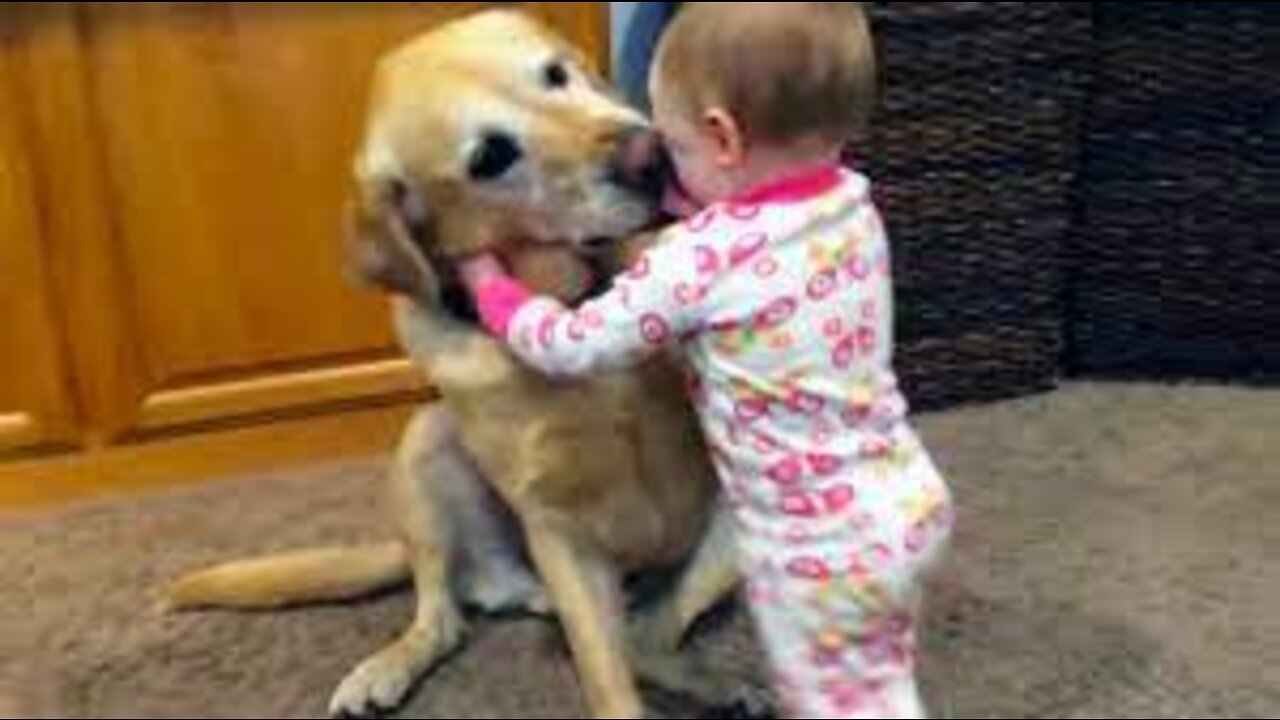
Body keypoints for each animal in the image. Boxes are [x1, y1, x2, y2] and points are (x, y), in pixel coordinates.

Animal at [163, 11, 752, 717]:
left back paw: (715, 680)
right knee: (447, 615)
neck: (575, 302)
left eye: (556, 73)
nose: (652, 155)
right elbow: (605, 678)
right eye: (490, 158)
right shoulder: (556, 527)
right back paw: (389, 664)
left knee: (652, 630)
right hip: (426, 445)